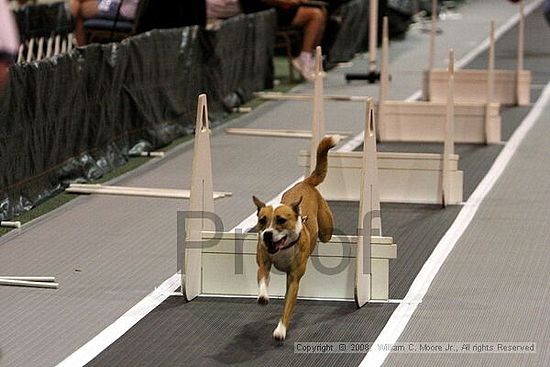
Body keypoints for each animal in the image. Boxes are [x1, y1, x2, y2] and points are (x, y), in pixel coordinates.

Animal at [253, 136, 338, 342]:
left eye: (281, 220)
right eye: (262, 221)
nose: (267, 234)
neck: (283, 248)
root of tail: (306, 183)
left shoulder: (293, 279)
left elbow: (287, 308)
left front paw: (281, 329)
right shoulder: (264, 263)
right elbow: (262, 279)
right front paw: (263, 297)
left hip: (326, 230)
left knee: (326, 235)